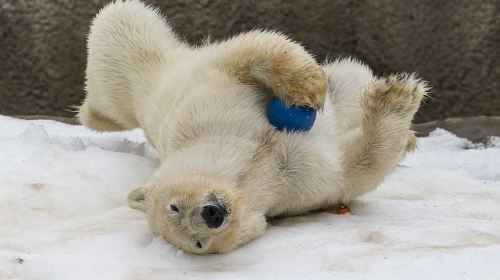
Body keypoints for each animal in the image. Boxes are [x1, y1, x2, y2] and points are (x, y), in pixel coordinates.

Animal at [78, 0, 426, 254]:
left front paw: (308, 86)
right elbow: (353, 168)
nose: (212, 214)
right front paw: (397, 100)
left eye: (173, 207)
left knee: (121, 23)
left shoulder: (199, 107)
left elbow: (245, 55)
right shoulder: (292, 188)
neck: (247, 166)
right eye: (198, 243)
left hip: (146, 69)